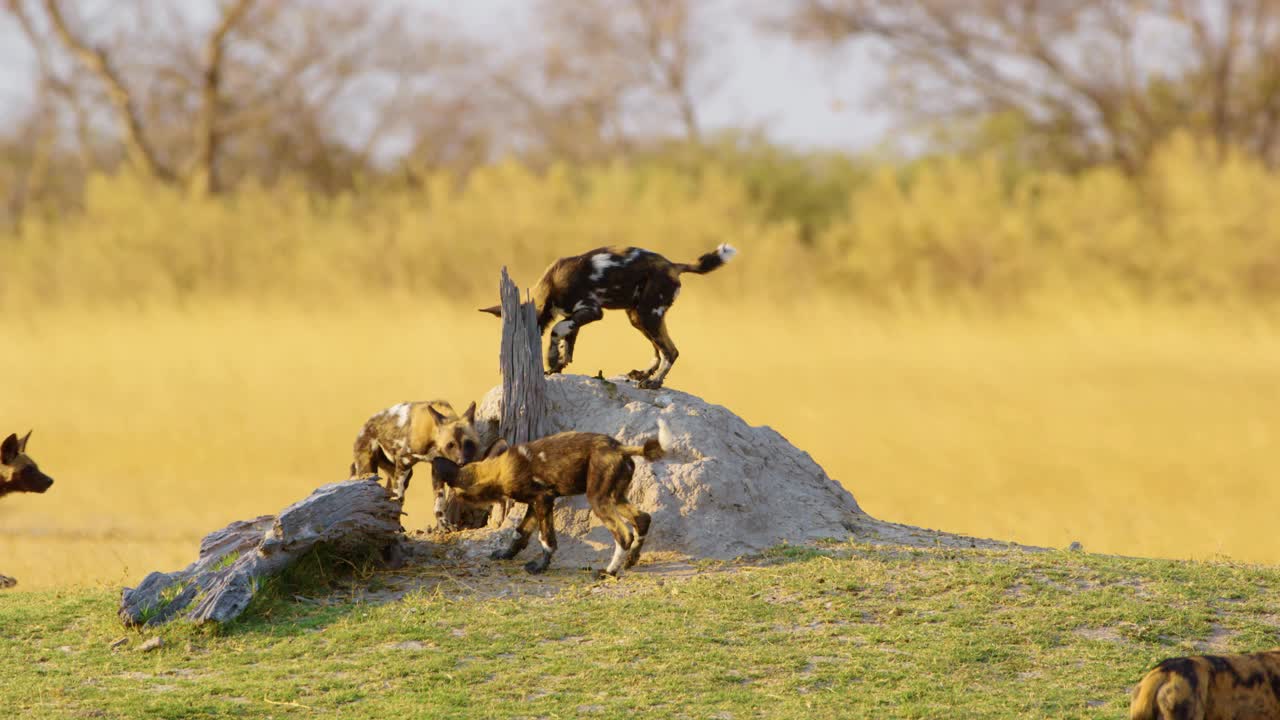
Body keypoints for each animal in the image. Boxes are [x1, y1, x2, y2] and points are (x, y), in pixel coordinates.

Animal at [350, 394, 481, 525]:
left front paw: (443, 523)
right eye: (450, 445)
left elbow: (439, 501)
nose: (462, 462)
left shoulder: (437, 467)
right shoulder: (403, 462)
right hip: (370, 469)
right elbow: (398, 497)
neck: (432, 435)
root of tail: (365, 425)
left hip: (401, 473)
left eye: (469, 444)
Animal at [430, 422, 670, 573]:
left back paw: (609, 572)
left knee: (624, 535)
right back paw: (630, 561)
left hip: (598, 499)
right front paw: (507, 554)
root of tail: (620, 448)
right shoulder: (534, 504)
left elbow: (546, 540)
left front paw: (539, 567)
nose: (455, 507)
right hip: (615, 497)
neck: (499, 470)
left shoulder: (543, 500)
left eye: (458, 494)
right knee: (642, 519)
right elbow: (520, 533)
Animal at [481, 242, 742, 389]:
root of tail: (673, 265)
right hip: (638, 317)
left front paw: (552, 359)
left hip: (648, 314)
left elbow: (557, 330)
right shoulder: (576, 316)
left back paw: (654, 382)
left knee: (671, 351)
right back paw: (644, 373)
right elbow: (568, 343)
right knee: (658, 351)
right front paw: (558, 367)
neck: (551, 287)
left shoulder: (593, 311)